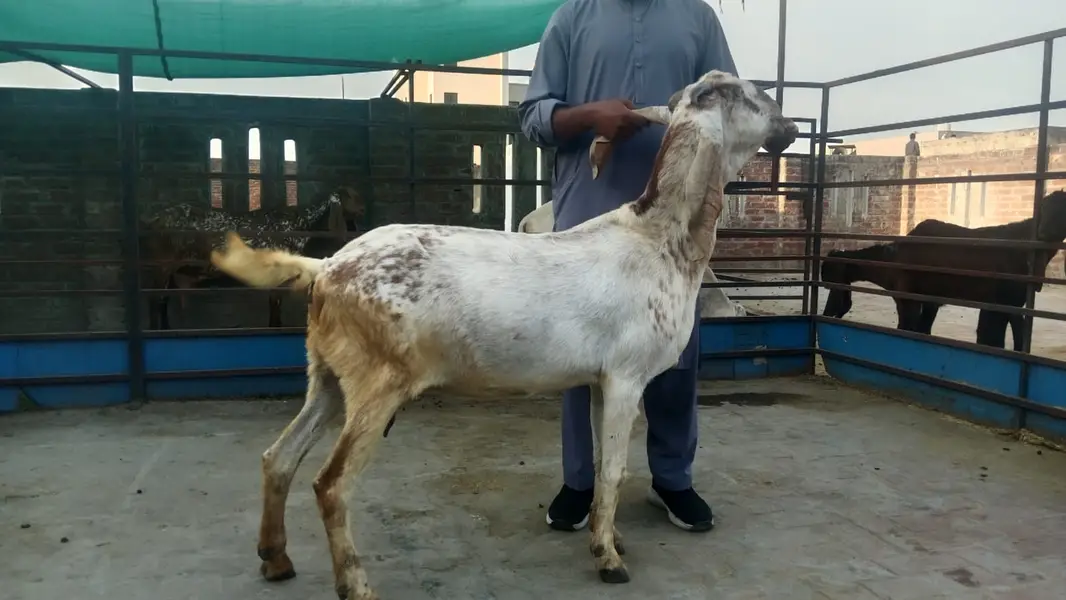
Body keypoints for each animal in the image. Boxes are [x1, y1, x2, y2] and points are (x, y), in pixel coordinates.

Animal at [138, 187, 363, 330]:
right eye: (350, 196)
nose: (362, 209)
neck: (300, 223)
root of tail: (152, 220)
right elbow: (275, 304)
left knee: (163, 298)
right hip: (162, 264)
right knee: (153, 297)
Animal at [821, 189, 1066, 350]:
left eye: (831, 281)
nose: (826, 313)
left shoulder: (908, 296)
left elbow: (907, 328)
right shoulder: (932, 300)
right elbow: (924, 330)